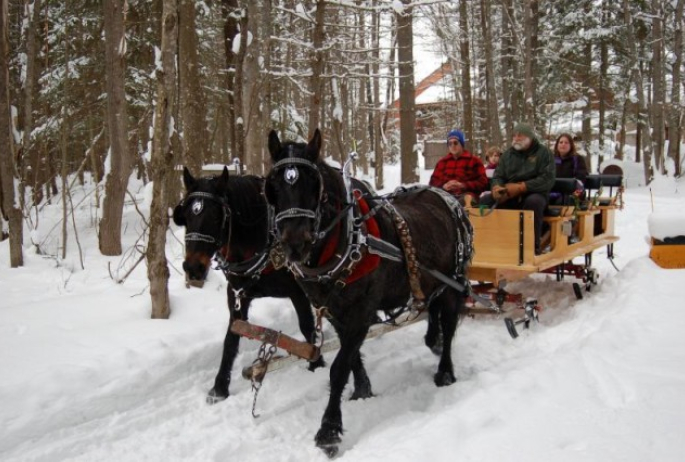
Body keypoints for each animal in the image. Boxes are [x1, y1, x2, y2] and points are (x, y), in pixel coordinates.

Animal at [172, 165, 324, 400]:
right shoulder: (236, 294)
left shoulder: (298, 292)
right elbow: (231, 337)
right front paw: (219, 388)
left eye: (216, 216)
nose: (193, 268)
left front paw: (316, 364)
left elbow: (307, 327)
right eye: (186, 216)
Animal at [264, 129, 472, 454]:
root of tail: (448, 197)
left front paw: (329, 430)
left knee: (450, 326)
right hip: (434, 284)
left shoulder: (361, 313)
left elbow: (339, 368)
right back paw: (434, 341)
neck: (347, 240)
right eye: (272, 186)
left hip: (453, 282)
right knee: (434, 313)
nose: (295, 243)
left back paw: (445, 372)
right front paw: (362, 390)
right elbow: (351, 358)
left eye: (314, 185)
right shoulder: (333, 311)